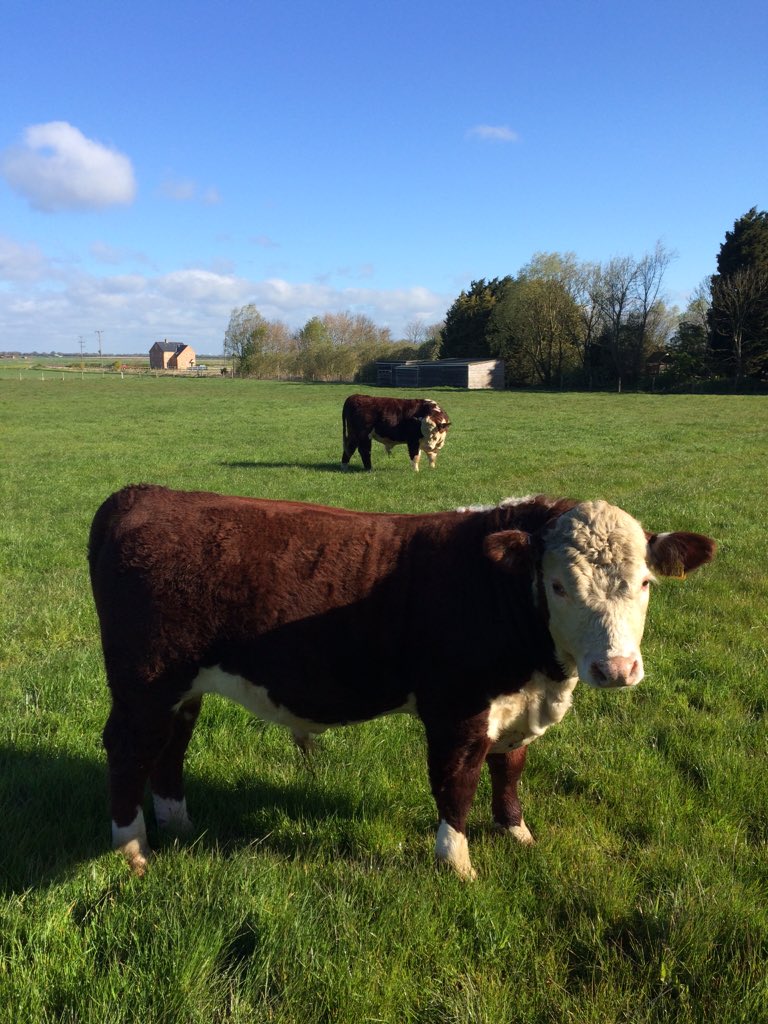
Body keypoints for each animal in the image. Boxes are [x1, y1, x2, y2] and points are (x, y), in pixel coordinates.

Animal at [89, 486, 715, 879]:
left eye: (645, 582)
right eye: (559, 585)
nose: (616, 669)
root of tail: (144, 494)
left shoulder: (516, 706)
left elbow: (509, 771)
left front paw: (517, 834)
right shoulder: (456, 710)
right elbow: (456, 784)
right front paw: (457, 865)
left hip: (181, 689)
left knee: (170, 748)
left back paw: (179, 825)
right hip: (144, 684)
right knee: (129, 749)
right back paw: (132, 850)